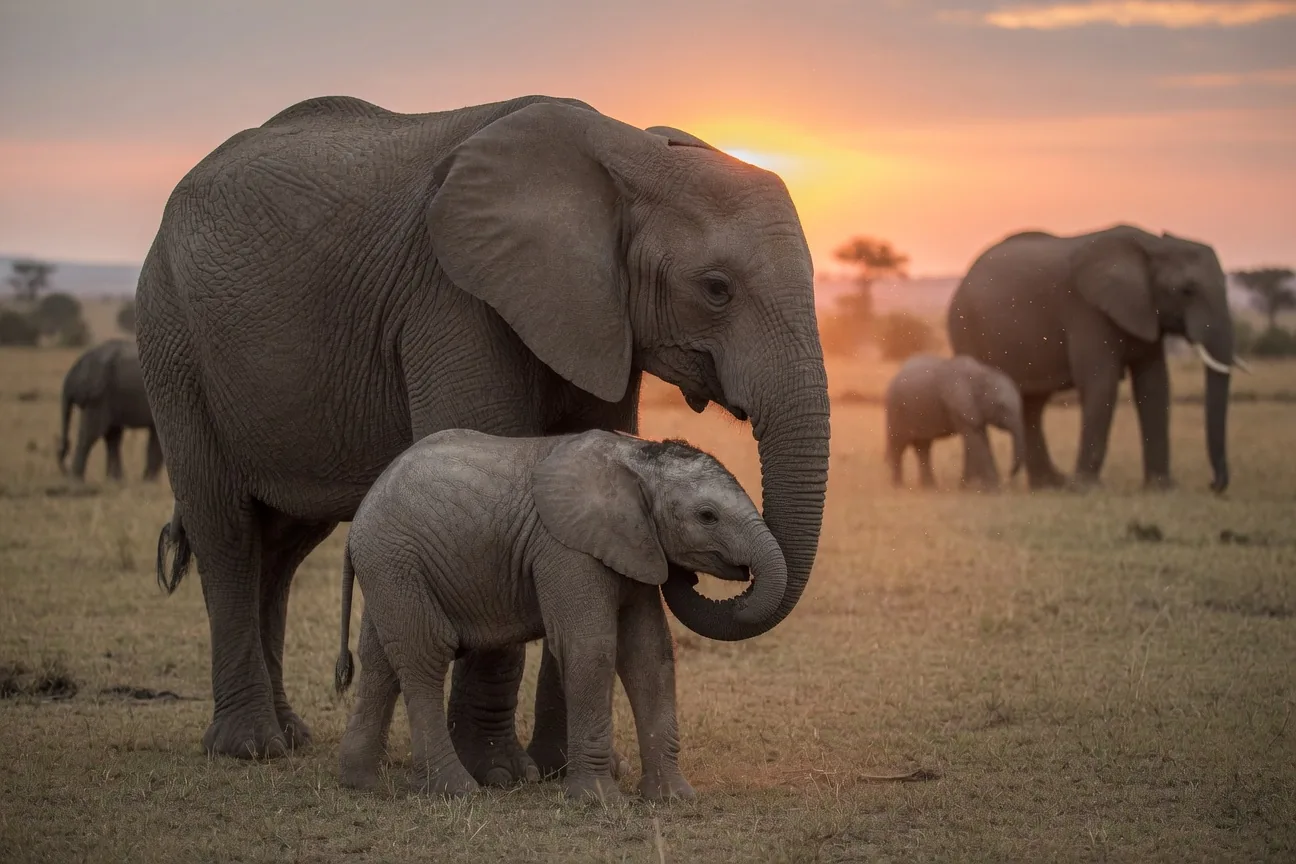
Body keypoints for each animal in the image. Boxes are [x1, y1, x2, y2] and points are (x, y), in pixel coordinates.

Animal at [57, 338, 163, 482]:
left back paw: (114, 480)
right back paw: (78, 481)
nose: (62, 453)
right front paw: (149, 482)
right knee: (94, 435)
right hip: (103, 395)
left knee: (110, 435)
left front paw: (149, 482)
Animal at [333, 429, 785, 803]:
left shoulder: (633, 549)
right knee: (424, 655)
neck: (637, 457)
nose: (688, 577)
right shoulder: (566, 548)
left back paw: (361, 782)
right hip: (396, 560)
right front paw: (599, 802)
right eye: (707, 516)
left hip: (390, 569)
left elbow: (649, 654)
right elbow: (592, 650)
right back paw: (457, 791)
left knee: (381, 662)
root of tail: (358, 521)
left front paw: (674, 799)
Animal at [884, 354, 1024, 490]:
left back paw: (930, 488)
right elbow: (975, 440)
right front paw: (993, 490)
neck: (981, 373)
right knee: (898, 446)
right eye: (1001, 406)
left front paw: (968, 488)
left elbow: (981, 438)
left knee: (923, 447)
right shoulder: (957, 405)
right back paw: (898, 488)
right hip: (896, 409)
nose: (1009, 474)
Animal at [947, 225, 1244, 493]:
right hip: (966, 328)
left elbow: (1154, 385)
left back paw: (1048, 485)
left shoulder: (1145, 311)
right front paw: (1086, 489)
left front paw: (1162, 489)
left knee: (1032, 404)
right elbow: (1101, 383)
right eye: (1187, 290)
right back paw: (978, 487)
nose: (1213, 484)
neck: (1151, 247)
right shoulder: (1087, 310)